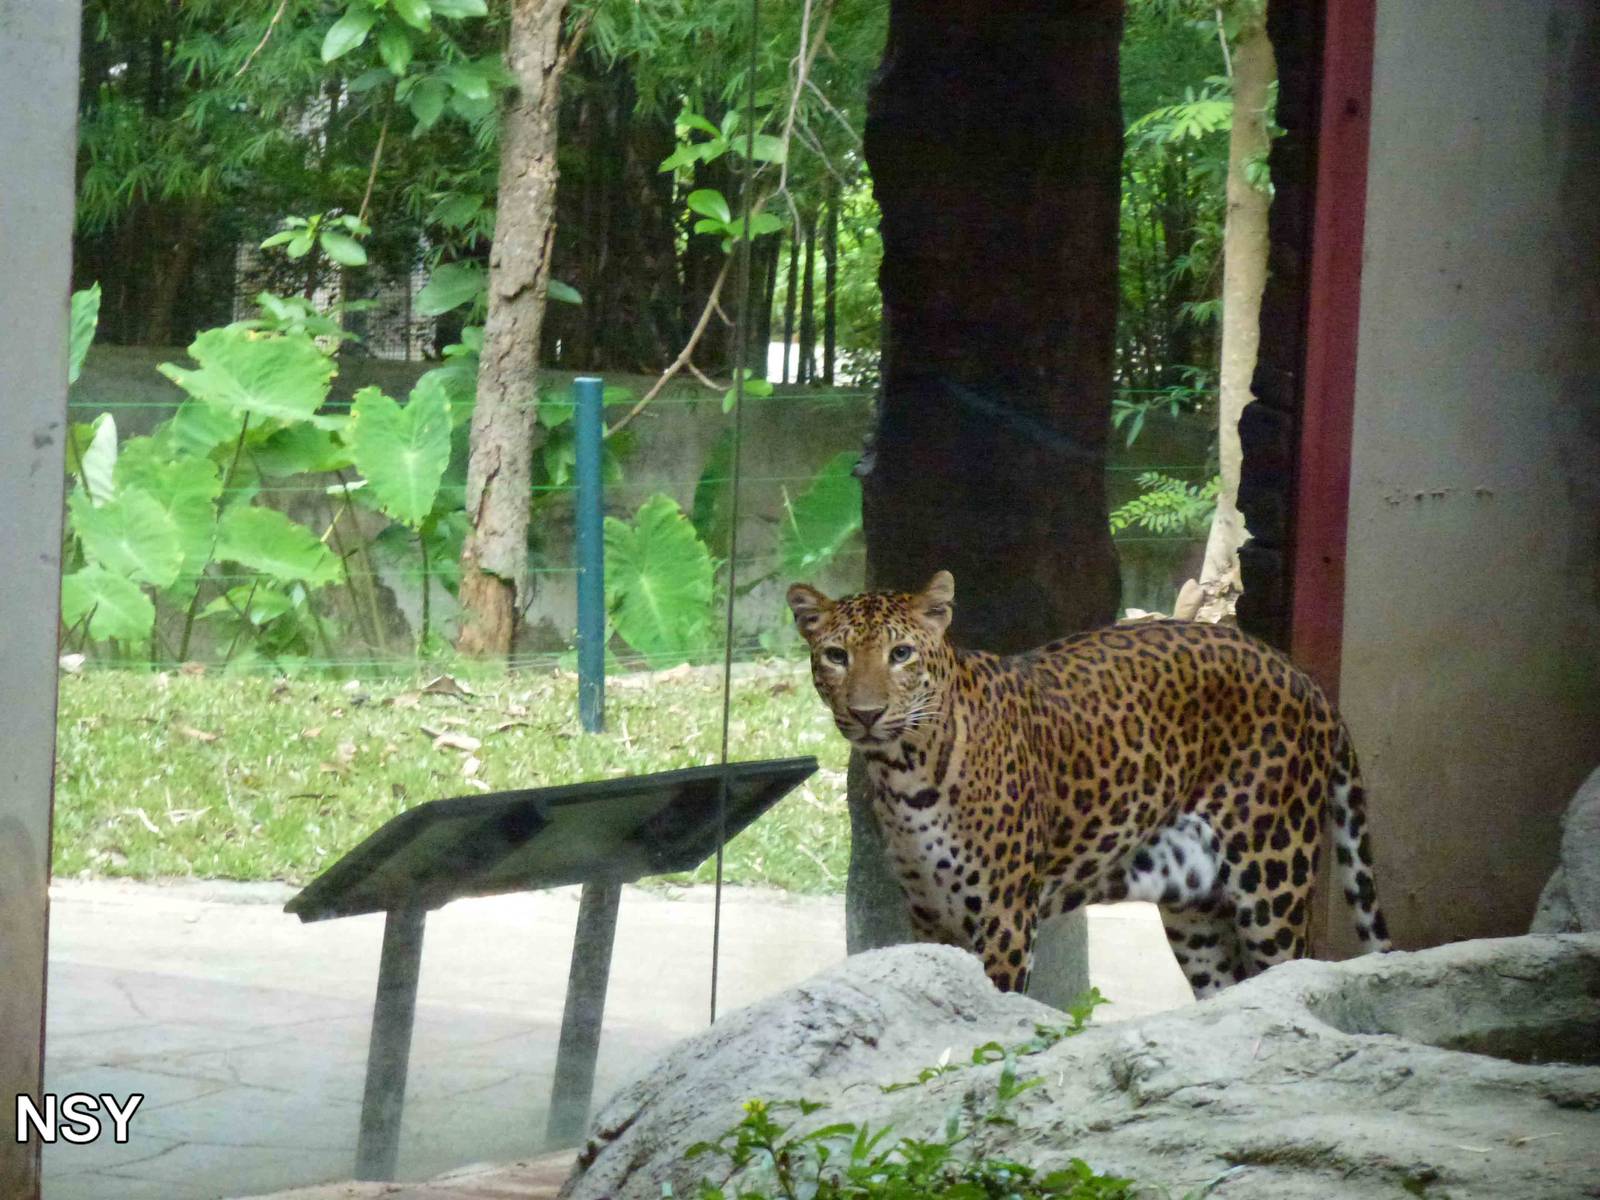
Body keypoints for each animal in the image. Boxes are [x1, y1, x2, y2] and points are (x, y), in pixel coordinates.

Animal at [786, 570, 1392, 997]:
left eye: (901, 654)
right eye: (836, 656)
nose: (866, 714)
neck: (904, 769)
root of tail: (1304, 677)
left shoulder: (1004, 918)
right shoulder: (929, 918)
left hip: (1272, 880)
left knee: (1289, 970)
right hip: (1195, 910)